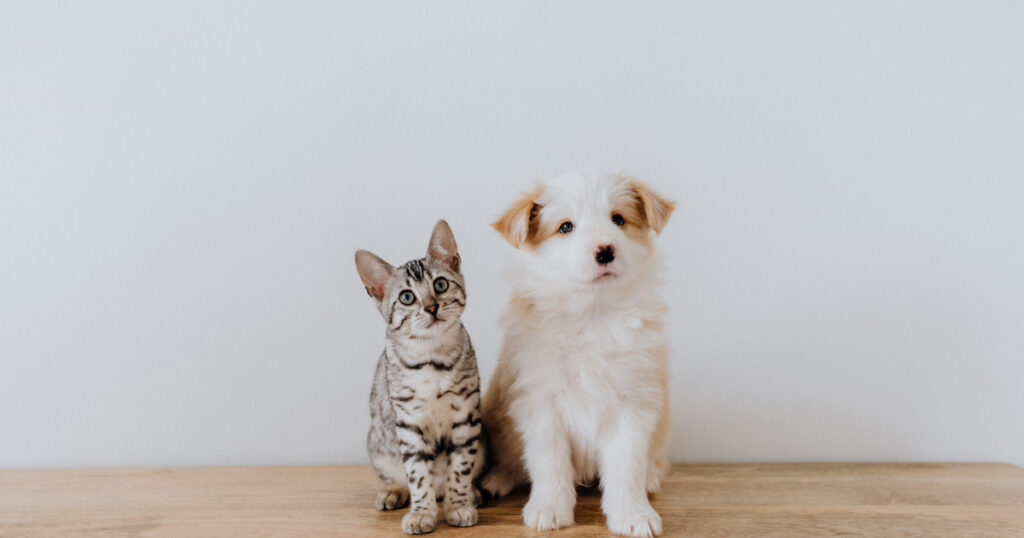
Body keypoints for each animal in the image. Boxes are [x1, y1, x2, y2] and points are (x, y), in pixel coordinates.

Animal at [354, 218, 485, 532]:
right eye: (407, 297)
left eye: (440, 284)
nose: (431, 306)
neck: (432, 359)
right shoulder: (409, 424)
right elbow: (417, 474)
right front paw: (422, 513)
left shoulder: (466, 418)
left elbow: (459, 469)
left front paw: (458, 505)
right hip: (377, 443)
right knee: (396, 476)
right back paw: (392, 492)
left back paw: (471, 494)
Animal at [481, 172, 675, 536]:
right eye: (565, 227)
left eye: (618, 219)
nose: (605, 251)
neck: (592, 315)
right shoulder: (539, 402)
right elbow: (549, 461)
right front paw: (549, 509)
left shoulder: (634, 402)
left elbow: (626, 465)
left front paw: (633, 514)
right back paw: (495, 480)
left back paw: (651, 479)